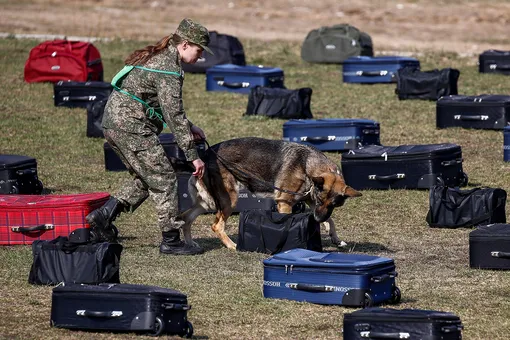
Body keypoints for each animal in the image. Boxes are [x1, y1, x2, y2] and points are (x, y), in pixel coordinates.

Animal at [181, 137, 360, 251]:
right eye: (320, 200)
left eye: (333, 205)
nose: (317, 220)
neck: (307, 166)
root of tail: (205, 155)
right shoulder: (285, 203)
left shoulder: (312, 203)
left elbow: (330, 219)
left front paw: (335, 238)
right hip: (228, 200)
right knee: (216, 225)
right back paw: (232, 245)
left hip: (207, 203)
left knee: (186, 218)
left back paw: (190, 243)